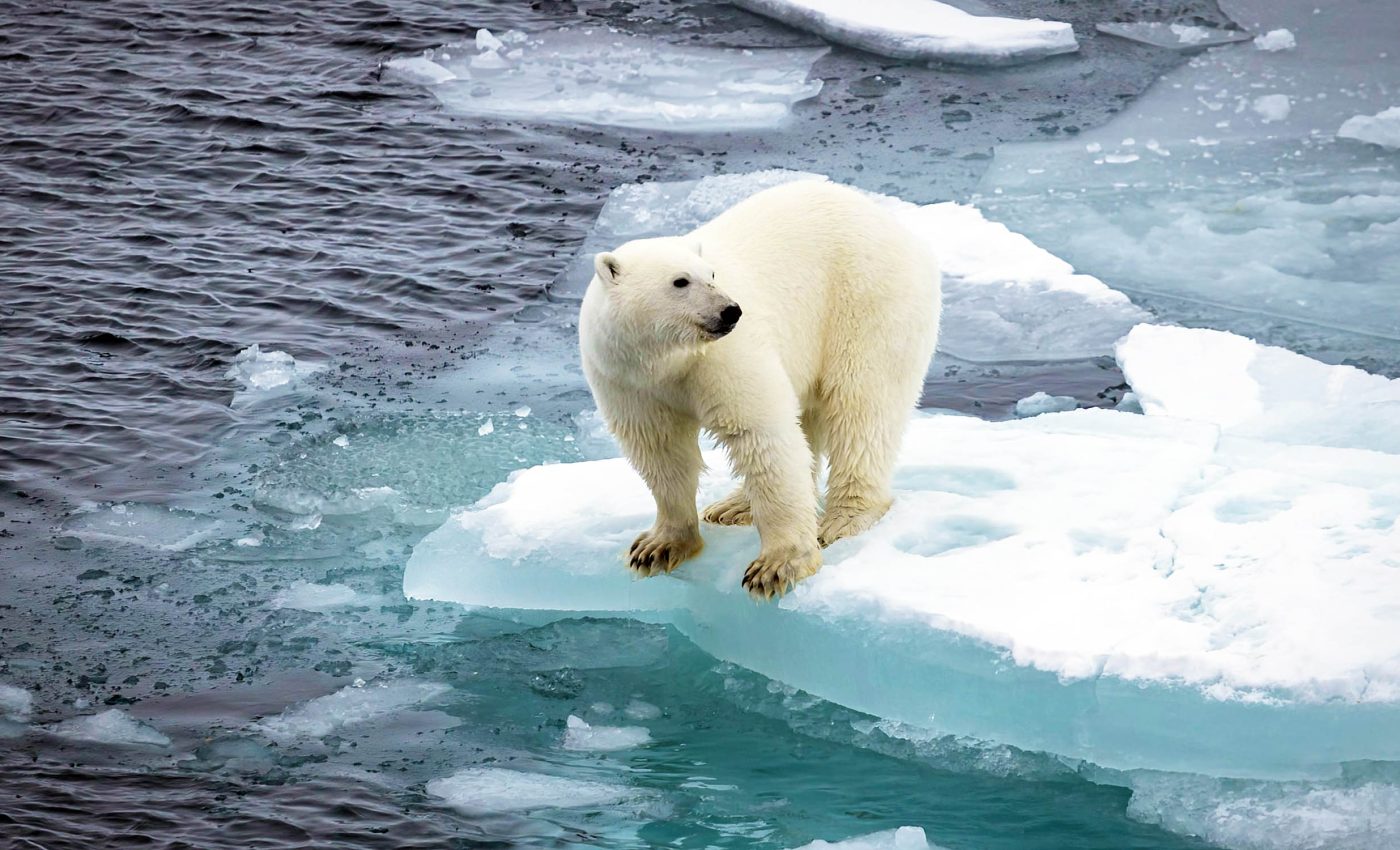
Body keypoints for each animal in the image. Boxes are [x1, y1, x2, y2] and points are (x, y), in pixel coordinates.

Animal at [578, 179, 941, 599]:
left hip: (867, 301)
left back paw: (845, 517)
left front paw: (778, 566)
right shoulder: (626, 378)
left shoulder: (722, 359)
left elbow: (761, 433)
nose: (730, 311)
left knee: (862, 408)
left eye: (713, 274)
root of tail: (901, 230)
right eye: (680, 280)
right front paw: (658, 546)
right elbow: (660, 451)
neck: (667, 360)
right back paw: (735, 506)